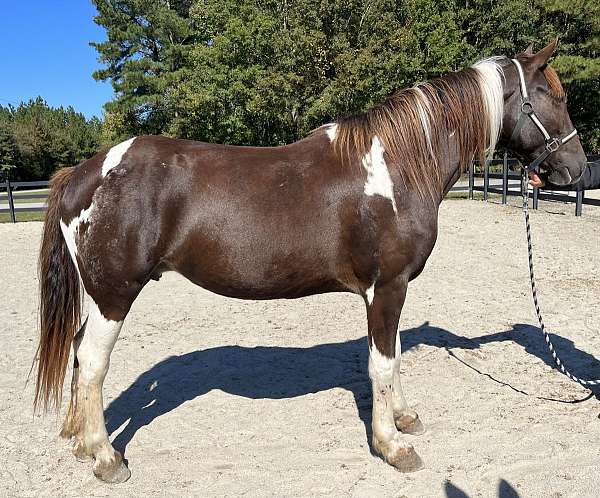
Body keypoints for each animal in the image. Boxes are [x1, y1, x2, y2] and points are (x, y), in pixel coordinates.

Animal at [34, 40, 584, 484]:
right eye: (554, 97)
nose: (577, 169)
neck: (398, 166)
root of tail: (84, 172)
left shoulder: (394, 289)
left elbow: (394, 356)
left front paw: (404, 419)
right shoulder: (386, 287)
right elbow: (382, 363)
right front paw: (393, 446)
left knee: (79, 353)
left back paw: (82, 442)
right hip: (114, 295)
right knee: (92, 363)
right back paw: (107, 458)